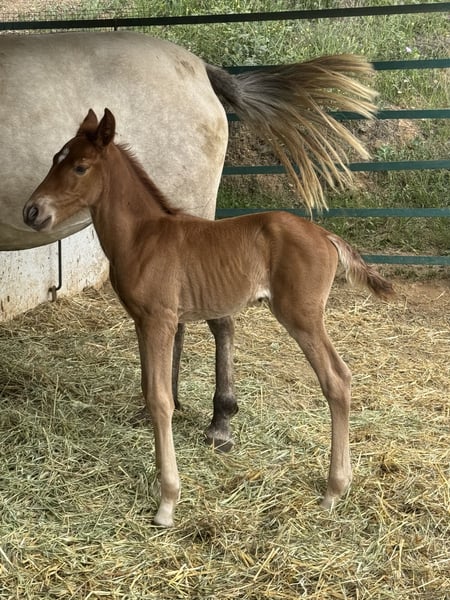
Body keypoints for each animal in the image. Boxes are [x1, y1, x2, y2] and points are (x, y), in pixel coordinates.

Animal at [23, 109, 394, 527]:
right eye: (55, 158)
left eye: (80, 167)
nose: (32, 211)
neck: (142, 237)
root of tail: (325, 235)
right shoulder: (141, 321)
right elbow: (150, 389)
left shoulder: (161, 321)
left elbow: (161, 400)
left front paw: (168, 500)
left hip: (302, 316)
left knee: (337, 378)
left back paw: (333, 489)